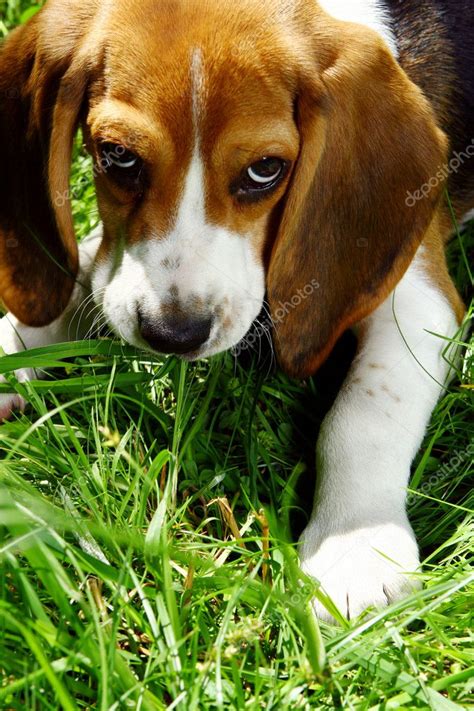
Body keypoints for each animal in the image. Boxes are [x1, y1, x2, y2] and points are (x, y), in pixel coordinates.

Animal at [0, 0, 470, 624]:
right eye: (117, 156)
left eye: (266, 170)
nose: (173, 335)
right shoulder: (110, 267)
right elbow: (85, 274)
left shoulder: (418, 296)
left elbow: (365, 416)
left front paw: (356, 546)